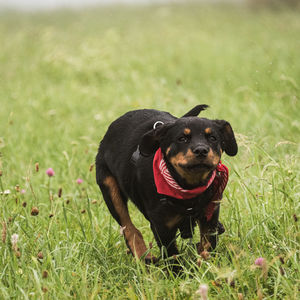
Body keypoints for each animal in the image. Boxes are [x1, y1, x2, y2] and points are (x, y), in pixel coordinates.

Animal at [95, 105, 237, 262]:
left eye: (213, 138)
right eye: (182, 138)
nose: (201, 150)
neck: (188, 188)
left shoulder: (210, 215)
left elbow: (208, 246)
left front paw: (205, 264)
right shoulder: (162, 226)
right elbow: (172, 255)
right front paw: (178, 268)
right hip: (109, 187)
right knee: (129, 228)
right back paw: (145, 258)